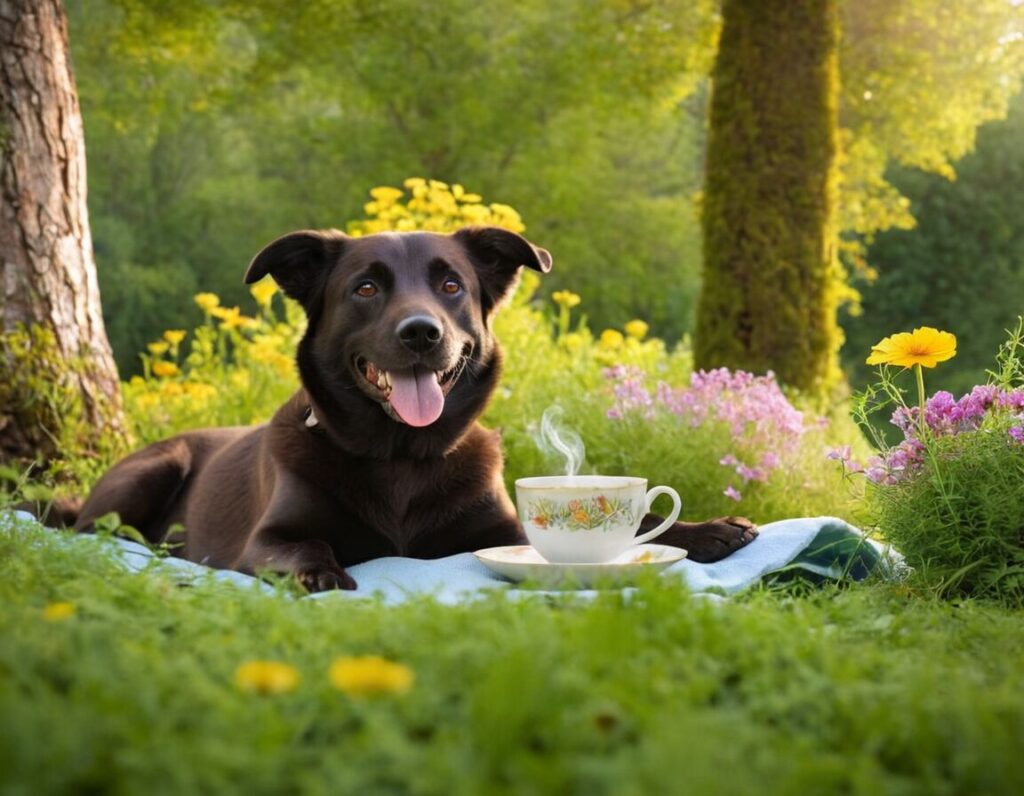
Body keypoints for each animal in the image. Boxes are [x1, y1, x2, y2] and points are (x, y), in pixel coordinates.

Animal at [72, 225, 757, 590]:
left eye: (451, 284)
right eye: (365, 288)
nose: (422, 333)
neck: (399, 457)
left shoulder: (504, 531)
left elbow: (639, 523)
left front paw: (705, 529)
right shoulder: (268, 538)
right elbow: (304, 544)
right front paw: (320, 572)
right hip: (146, 474)